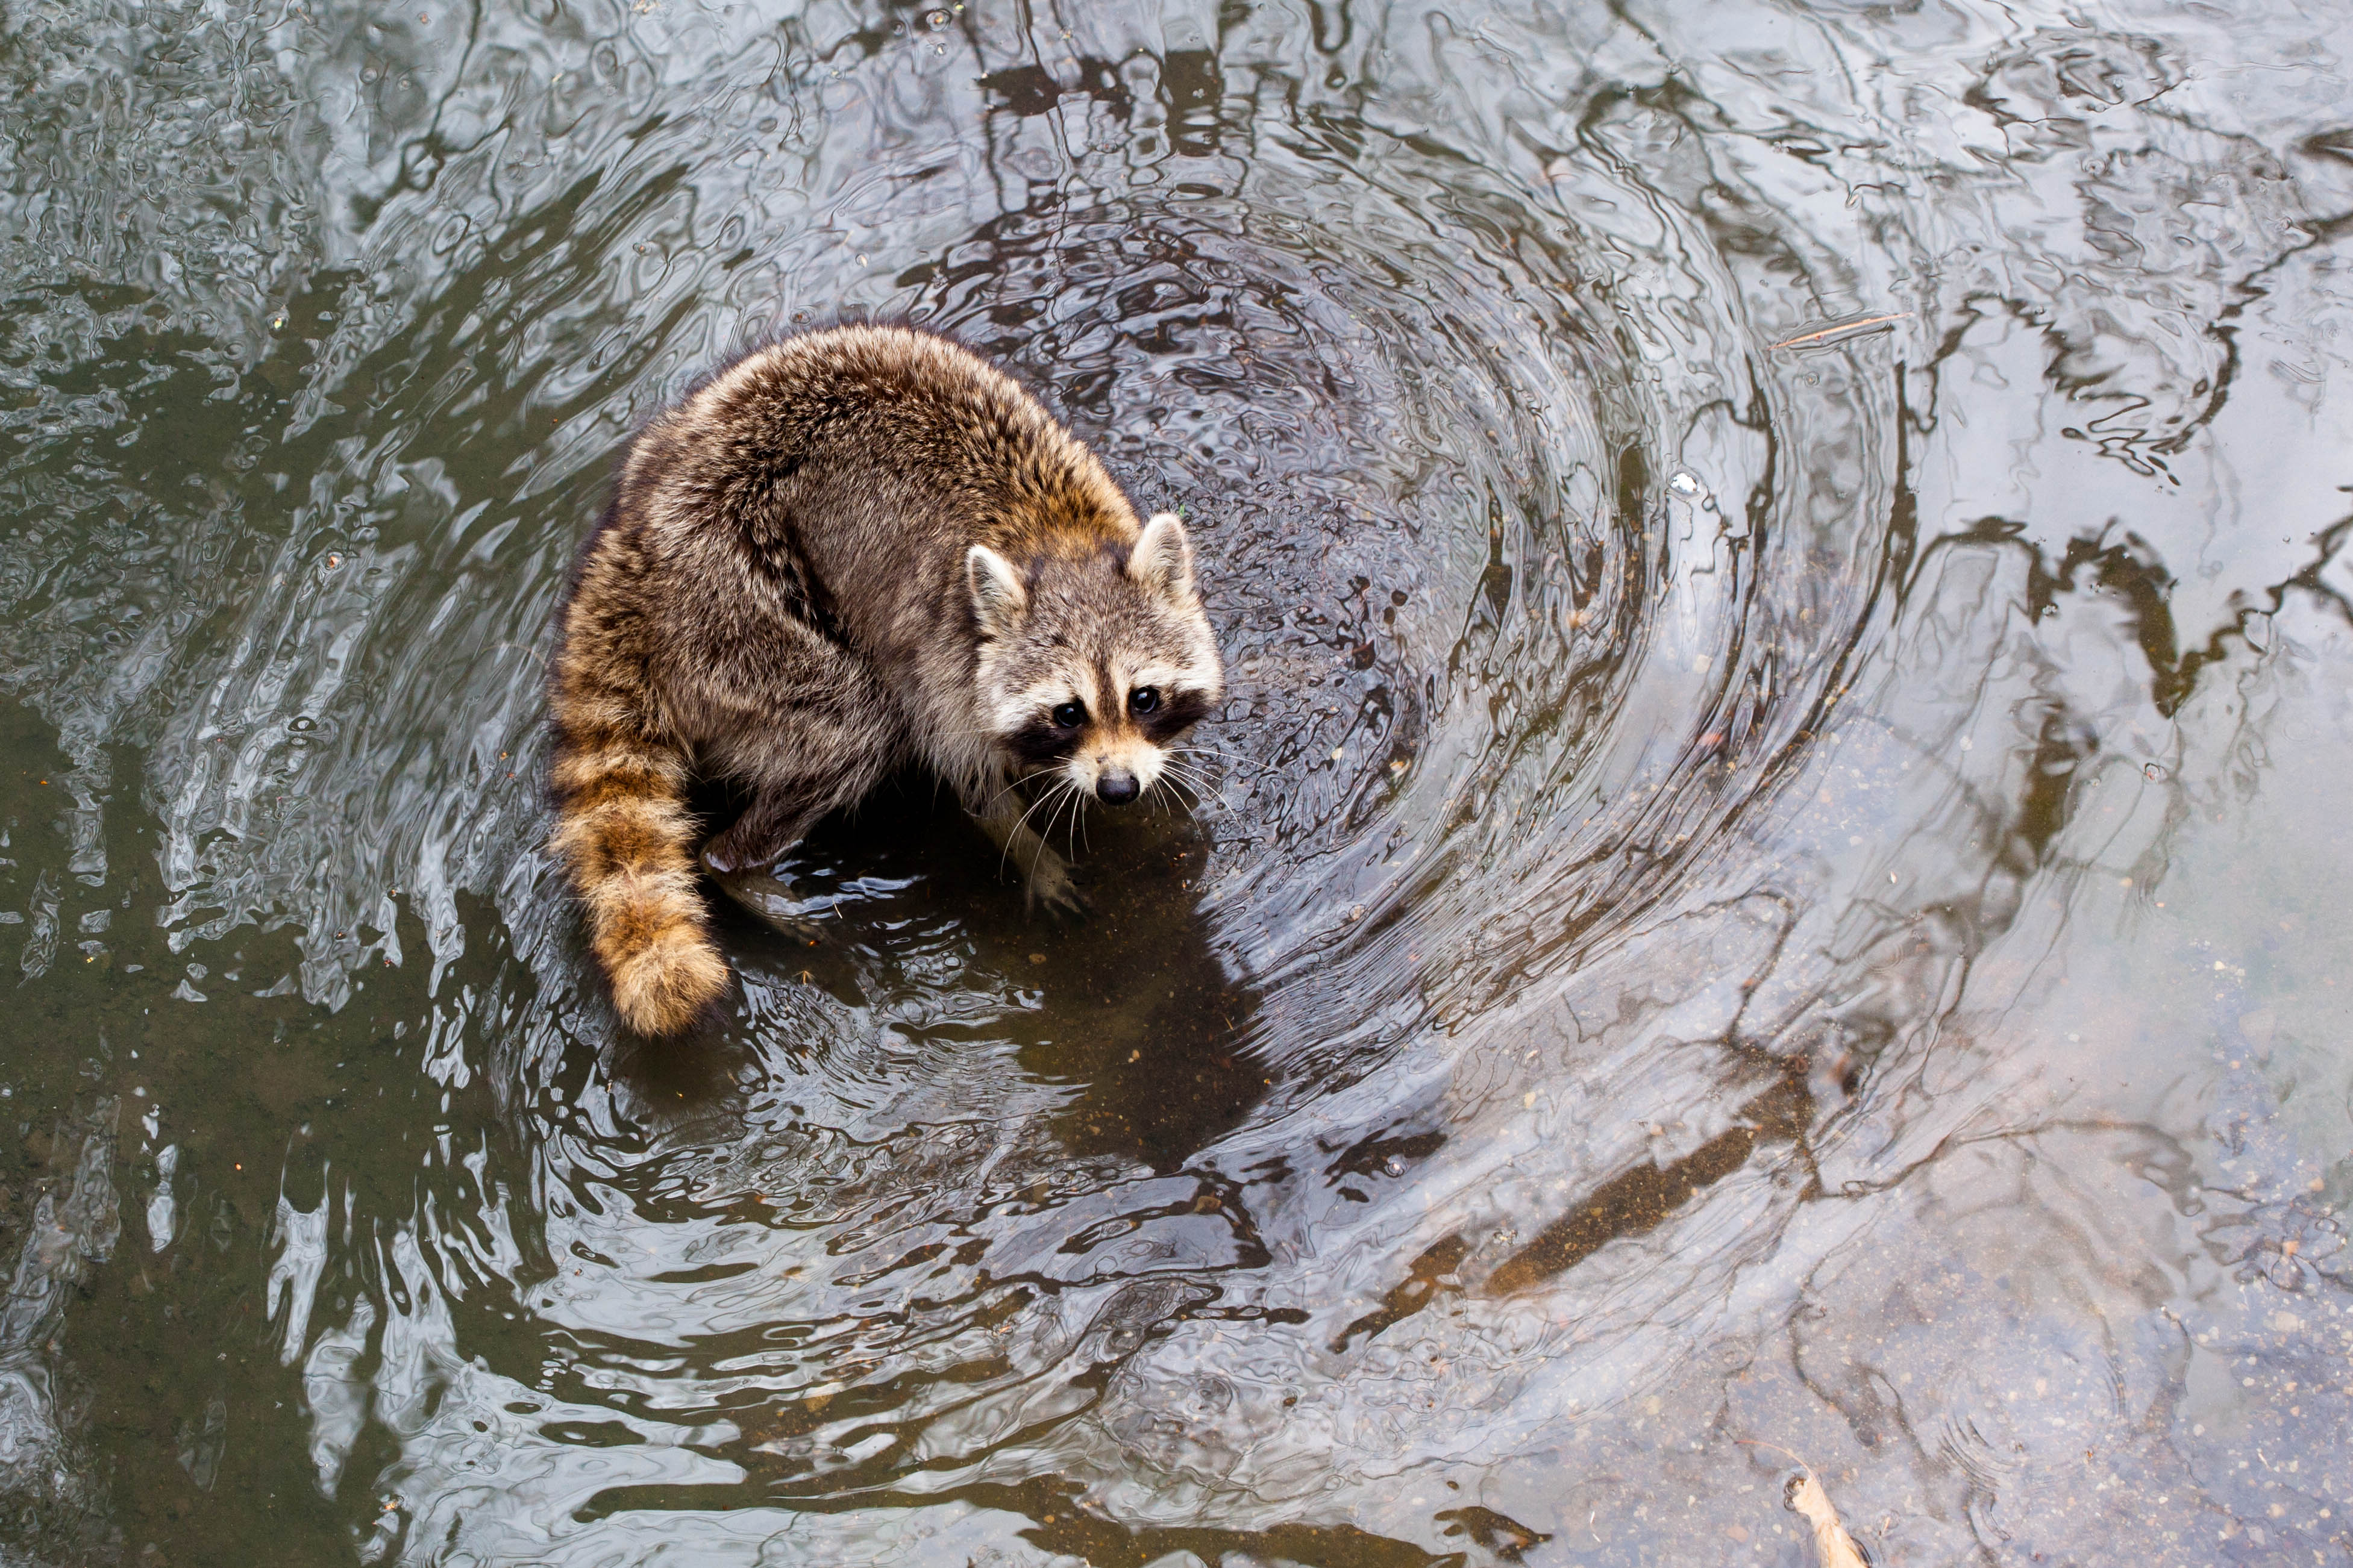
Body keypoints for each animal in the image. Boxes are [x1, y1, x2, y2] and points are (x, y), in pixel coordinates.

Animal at [548, 325, 1224, 1037]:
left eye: (1142, 698)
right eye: (1068, 712)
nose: (1118, 789)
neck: (1055, 537)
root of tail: (631, 551)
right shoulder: (939, 652)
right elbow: (968, 777)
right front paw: (1026, 848)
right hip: (736, 606)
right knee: (853, 727)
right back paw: (740, 863)